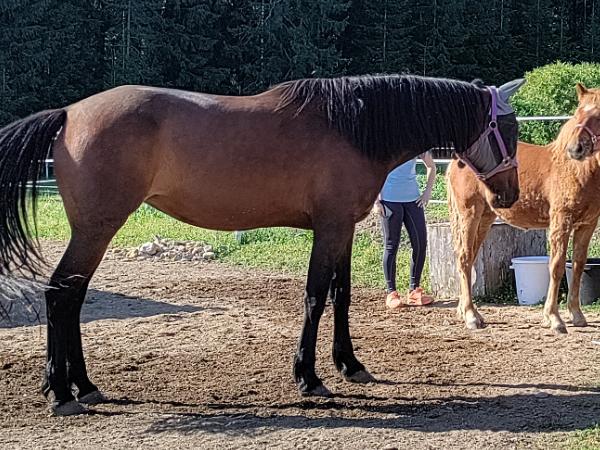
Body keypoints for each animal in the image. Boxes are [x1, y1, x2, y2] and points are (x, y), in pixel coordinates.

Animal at [0, 74, 524, 415]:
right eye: (509, 128)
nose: (509, 194)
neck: (352, 125)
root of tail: (69, 114)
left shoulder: (342, 229)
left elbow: (341, 296)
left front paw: (350, 364)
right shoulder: (329, 228)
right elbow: (315, 297)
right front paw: (309, 377)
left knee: (71, 297)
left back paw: (82, 386)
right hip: (96, 229)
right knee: (60, 294)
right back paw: (61, 392)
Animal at [448, 83, 600, 334]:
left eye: (598, 114)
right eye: (578, 113)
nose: (576, 149)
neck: (578, 169)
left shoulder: (587, 225)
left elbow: (578, 266)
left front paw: (576, 315)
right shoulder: (561, 222)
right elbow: (557, 266)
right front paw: (554, 319)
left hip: (485, 218)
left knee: (468, 259)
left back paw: (465, 311)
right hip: (469, 214)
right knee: (463, 258)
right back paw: (471, 316)